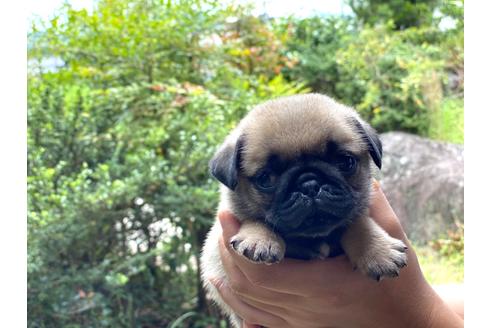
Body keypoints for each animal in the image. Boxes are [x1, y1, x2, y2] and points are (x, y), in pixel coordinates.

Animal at [200, 93, 408, 326]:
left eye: (346, 162)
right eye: (265, 179)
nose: (309, 184)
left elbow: (358, 222)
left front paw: (378, 250)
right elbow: (255, 219)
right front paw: (259, 239)